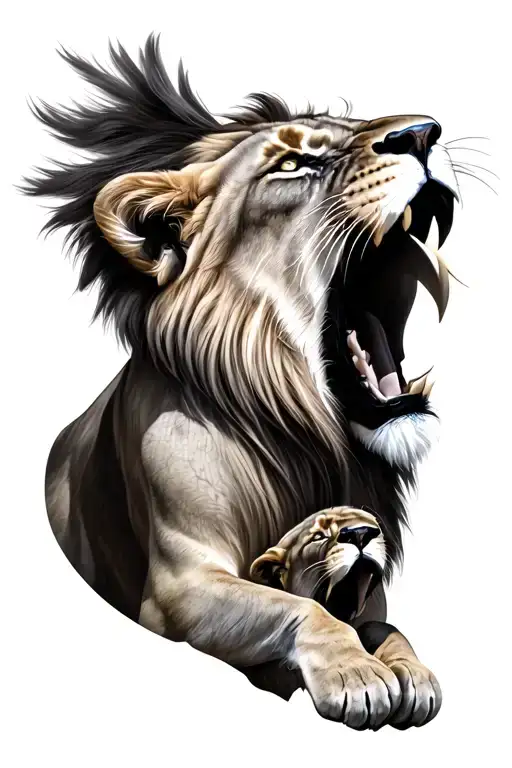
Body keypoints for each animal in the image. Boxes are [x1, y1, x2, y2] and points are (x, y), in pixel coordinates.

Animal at [248, 507, 441, 728]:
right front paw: (359, 679)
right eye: (318, 536)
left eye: (375, 525)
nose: (361, 533)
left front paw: (413, 674)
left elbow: (384, 628)